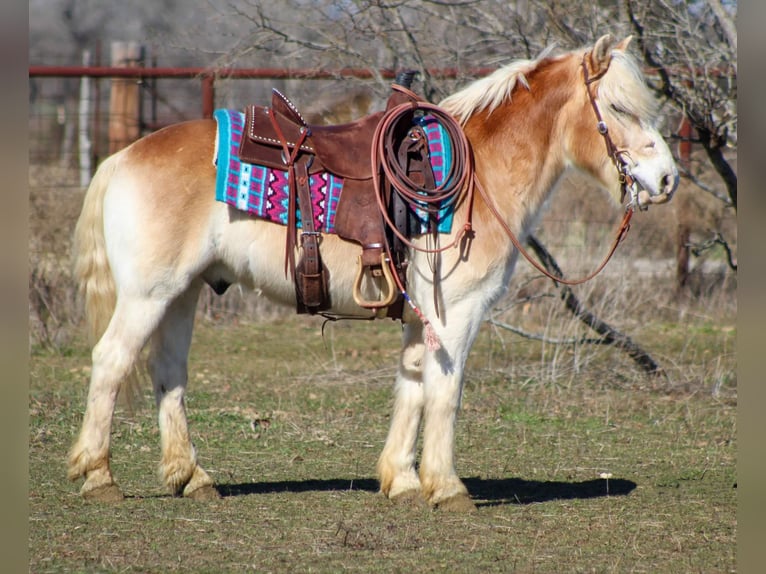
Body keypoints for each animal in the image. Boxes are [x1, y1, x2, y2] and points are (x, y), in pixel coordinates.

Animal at [66, 35, 680, 512]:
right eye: (619, 108)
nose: (667, 179)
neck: (480, 171)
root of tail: (120, 158)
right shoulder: (456, 313)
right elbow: (445, 393)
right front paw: (446, 487)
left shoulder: (419, 317)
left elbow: (411, 386)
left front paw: (402, 480)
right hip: (148, 295)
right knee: (111, 362)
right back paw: (98, 476)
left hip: (183, 294)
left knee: (169, 374)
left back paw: (191, 478)